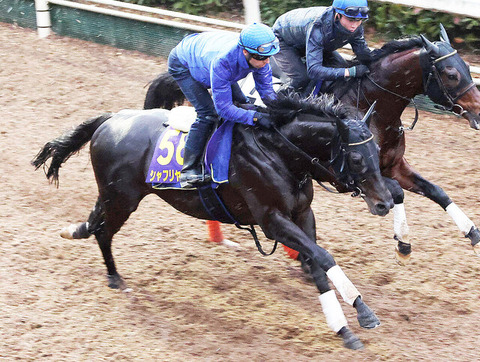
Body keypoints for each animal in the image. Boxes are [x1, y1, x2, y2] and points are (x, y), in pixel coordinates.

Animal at [32, 94, 394, 350]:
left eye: (377, 151)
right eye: (357, 157)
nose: (385, 202)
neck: (277, 151)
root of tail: (111, 118)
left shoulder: (303, 214)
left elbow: (318, 264)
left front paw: (344, 329)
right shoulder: (272, 220)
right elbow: (323, 257)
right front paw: (363, 313)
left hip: (111, 196)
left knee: (94, 223)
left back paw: (74, 231)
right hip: (122, 200)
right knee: (104, 232)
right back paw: (114, 277)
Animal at [146, 26, 480, 264]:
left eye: (467, 67)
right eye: (451, 73)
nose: (478, 112)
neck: (372, 105)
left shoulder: (393, 165)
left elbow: (436, 191)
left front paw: (472, 232)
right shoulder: (343, 177)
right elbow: (396, 192)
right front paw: (403, 242)